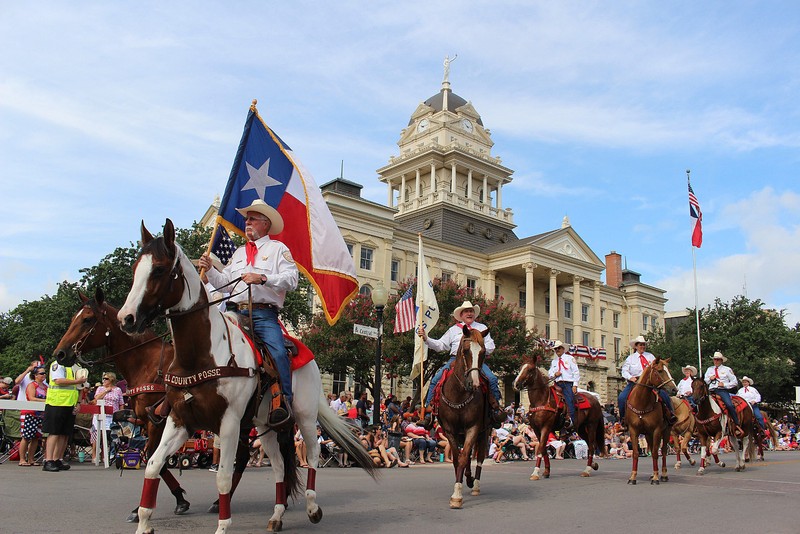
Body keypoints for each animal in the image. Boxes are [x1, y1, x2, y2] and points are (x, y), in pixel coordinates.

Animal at [53, 288, 191, 524]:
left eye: (87, 319)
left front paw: (144, 507)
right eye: (73, 318)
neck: (147, 365)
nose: (60, 354)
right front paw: (179, 499)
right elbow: (157, 460)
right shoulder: (147, 422)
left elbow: (153, 457)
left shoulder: (156, 423)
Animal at [119, 220, 378, 532]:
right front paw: (144, 520)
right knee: (278, 465)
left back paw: (313, 508)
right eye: (136, 268)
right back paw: (276, 515)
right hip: (265, 424)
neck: (201, 354)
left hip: (304, 416)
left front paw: (222, 525)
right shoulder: (179, 420)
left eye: (158, 269)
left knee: (314, 454)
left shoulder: (229, 423)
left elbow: (223, 477)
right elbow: (154, 464)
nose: (126, 318)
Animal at [434, 326, 490, 510]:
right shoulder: (450, 430)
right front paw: (459, 487)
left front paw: (457, 495)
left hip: (485, 432)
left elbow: (465, 456)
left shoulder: (473, 428)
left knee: (479, 458)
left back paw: (475, 484)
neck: (459, 394)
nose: (475, 384)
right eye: (466, 351)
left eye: (483, 352)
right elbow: (458, 459)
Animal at [624, 358, 676, 488]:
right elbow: (636, 453)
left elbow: (656, 453)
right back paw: (653, 474)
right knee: (653, 450)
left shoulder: (657, 430)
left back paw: (663, 475)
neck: (642, 402)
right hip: (648, 435)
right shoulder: (633, 430)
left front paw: (657, 478)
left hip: (666, 431)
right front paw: (633, 477)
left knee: (663, 451)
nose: (675, 389)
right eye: (660, 371)